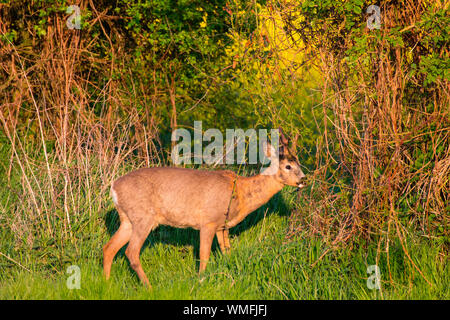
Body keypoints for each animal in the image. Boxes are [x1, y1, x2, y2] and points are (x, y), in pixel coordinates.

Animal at [103, 128, 306, 288]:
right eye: (288, 166)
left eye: (298, 162)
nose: (303, 179)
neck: (241, 191)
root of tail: (114, 188)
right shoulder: (208, 222)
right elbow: (204, 254)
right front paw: (201, 280)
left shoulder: (222, 226)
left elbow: (226, 252)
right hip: (143, 217)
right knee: (131, 252)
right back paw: (149, 287)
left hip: (127, 220)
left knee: (109, 248)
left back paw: (107, 283)